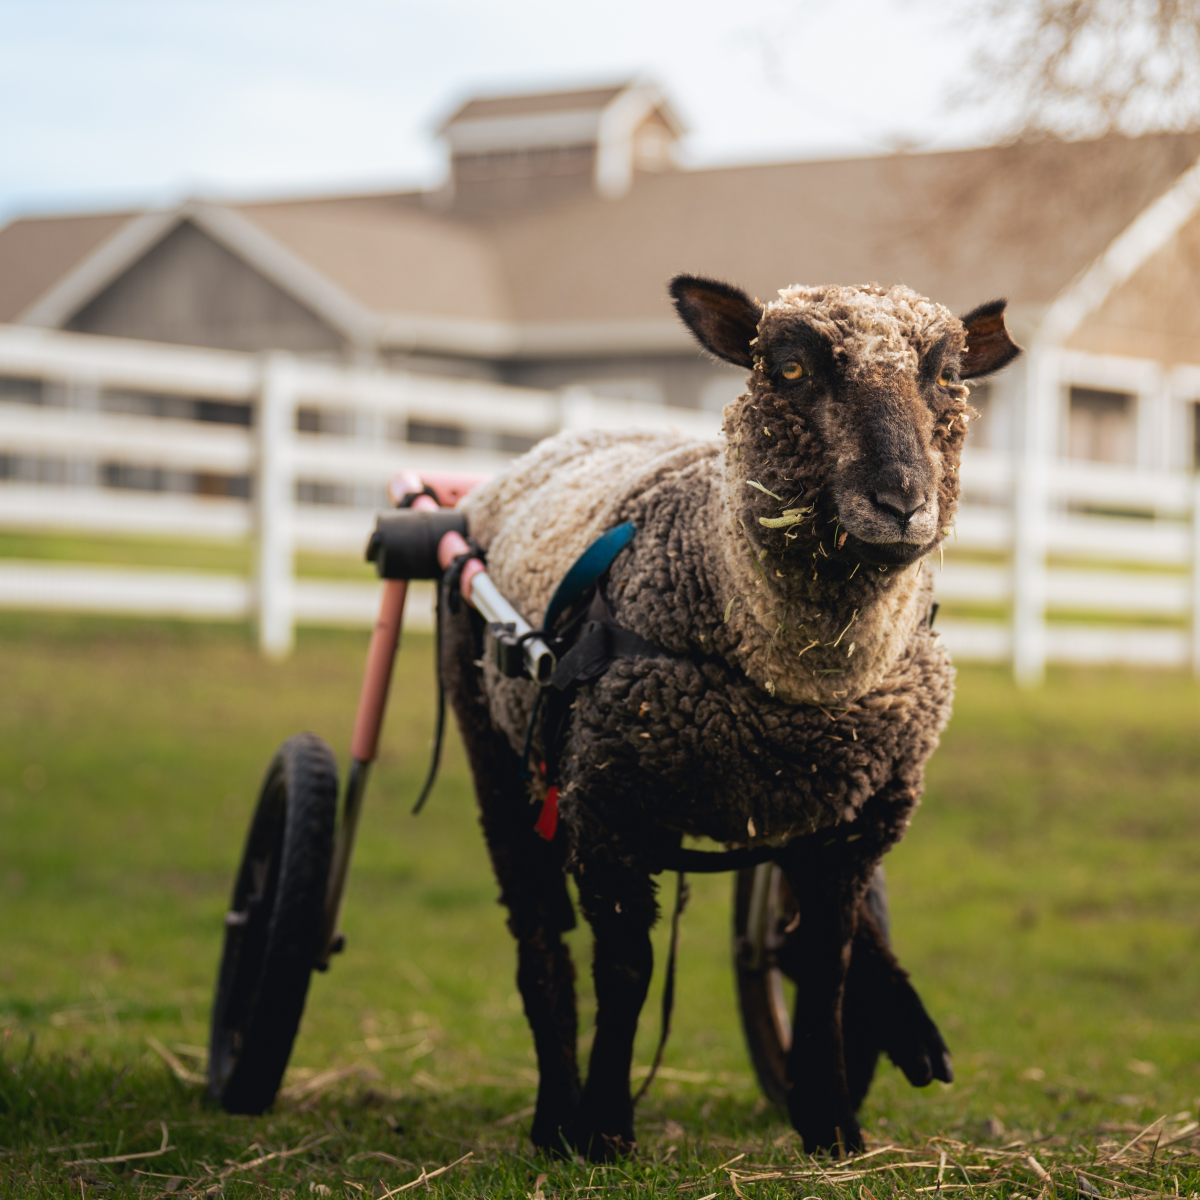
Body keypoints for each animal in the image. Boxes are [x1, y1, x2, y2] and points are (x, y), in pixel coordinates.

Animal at [441, 275, 1021, 1159]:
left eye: (949, 375)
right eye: (789, 368)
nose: (901, 502)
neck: (792, 684)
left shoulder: (857, 819)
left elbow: (825, 964)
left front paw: (831, 1125)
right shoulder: (608, 805)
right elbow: (626, 967)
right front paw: (604, 1129)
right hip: (496, 750)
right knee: (539, 938)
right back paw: (555, 1114)